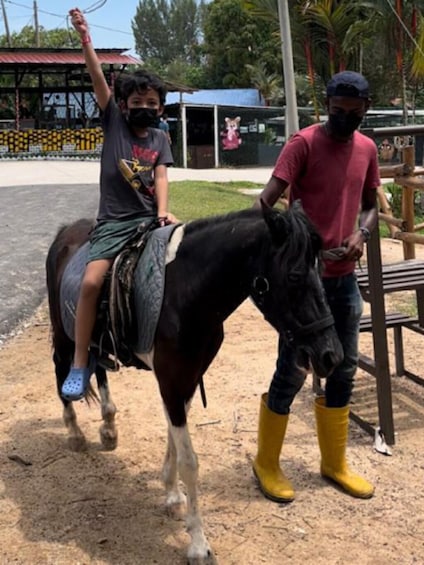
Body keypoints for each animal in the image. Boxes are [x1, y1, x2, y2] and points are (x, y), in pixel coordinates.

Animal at [45, 203, 342, 564]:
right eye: (295, 276)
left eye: (321, 270)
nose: (331, 355)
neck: (186, 292)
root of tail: (65, 231)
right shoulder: (172, 381)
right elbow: (189, 461)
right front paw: (198, 544)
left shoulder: (186, 379)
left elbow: (174, 442)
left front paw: (172, 496)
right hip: (65, 332)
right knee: (61, 367)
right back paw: (75, 432)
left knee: (98, 368)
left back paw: (108, 427)